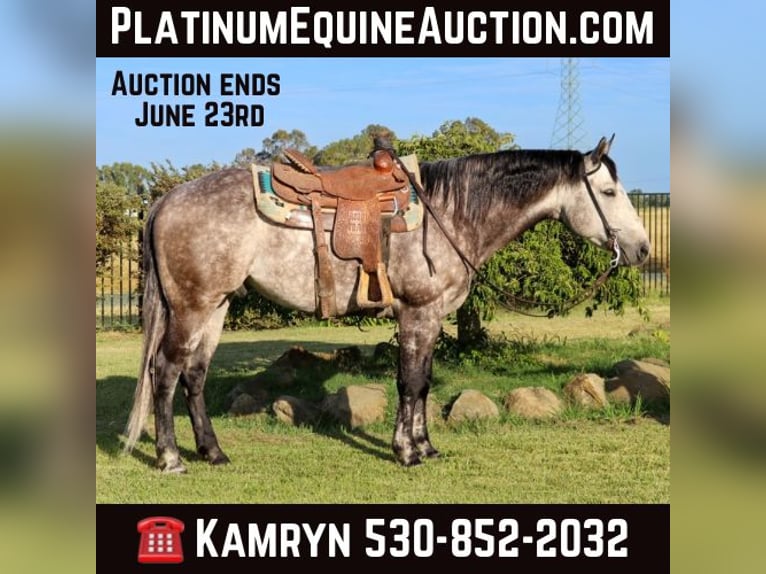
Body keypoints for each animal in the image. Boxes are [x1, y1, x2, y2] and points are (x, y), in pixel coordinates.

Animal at [124, 136, 650, 473]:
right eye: (608, 192)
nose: (643, 249)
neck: (450, 213)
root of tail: (165, 201)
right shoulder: (417, 312)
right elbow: (410, 382)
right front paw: (406, 452)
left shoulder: (432, 317)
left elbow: (423, 383)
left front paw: (427, 447)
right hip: (191, 307)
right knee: (165, 373)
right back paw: (171, 459)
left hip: (215, 307)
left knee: (194, 376)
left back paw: (213, 453)